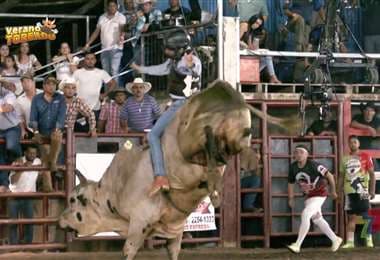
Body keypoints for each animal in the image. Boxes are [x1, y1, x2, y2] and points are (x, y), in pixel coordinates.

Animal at [59, 80, 298, 258]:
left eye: (72, 199)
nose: (60, 219)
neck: (115, 187)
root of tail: (229, 91)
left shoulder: (139, 222)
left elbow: (128, 250)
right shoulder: (174, 230)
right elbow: (173, 251)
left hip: (191, 139)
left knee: (208, 143)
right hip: (235, 135)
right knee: (233, 148)